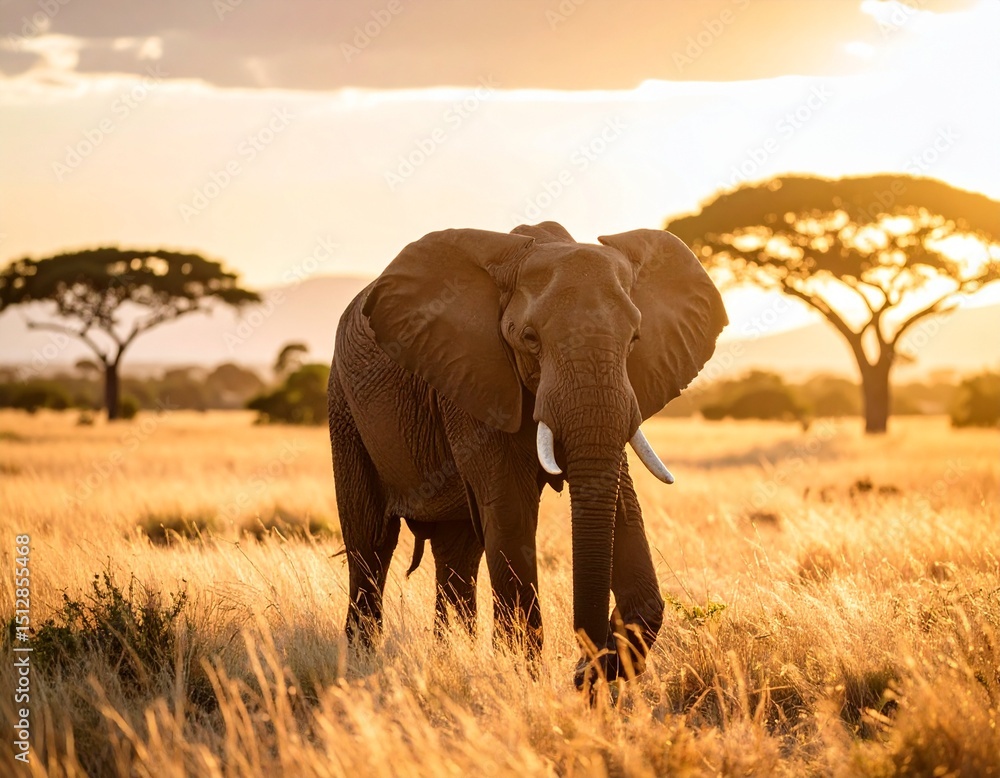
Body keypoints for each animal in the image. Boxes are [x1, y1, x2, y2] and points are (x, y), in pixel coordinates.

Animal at [328, 221, 726, 689]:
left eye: (635, 339)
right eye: (529, 339)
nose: (583, 669)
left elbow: (621, 505)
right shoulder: (476, 378)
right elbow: (512, 513)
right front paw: (526, 680)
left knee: (457, 552)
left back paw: (449, 654)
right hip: (344, 407)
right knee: (371, 543)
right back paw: (359, 663)